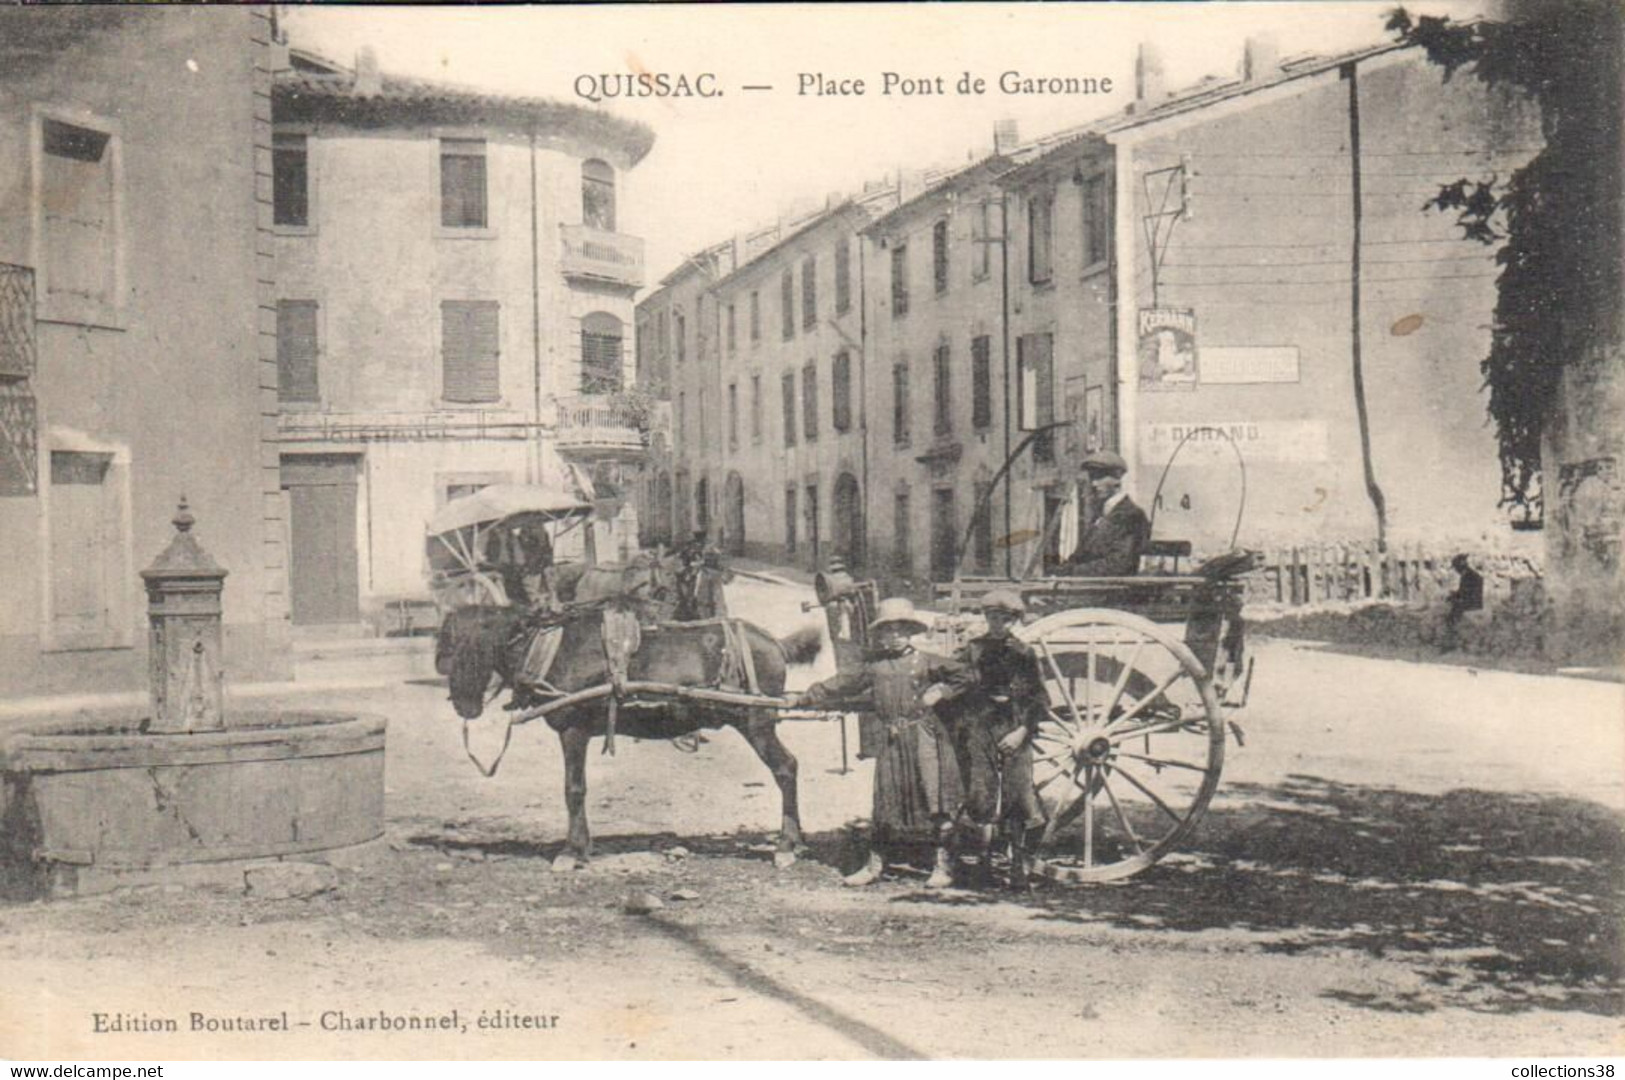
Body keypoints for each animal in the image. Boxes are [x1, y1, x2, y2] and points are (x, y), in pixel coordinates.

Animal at [435, 600, 825, 870]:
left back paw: (786, 845)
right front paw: (583, 847)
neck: (550, 649)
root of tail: (774, 643)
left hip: (756, 722)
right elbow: (577, 790)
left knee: (785, 768)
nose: (462, 705)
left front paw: (571, 851)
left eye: (452, 648)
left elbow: (573, 789)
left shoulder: (573, 730)